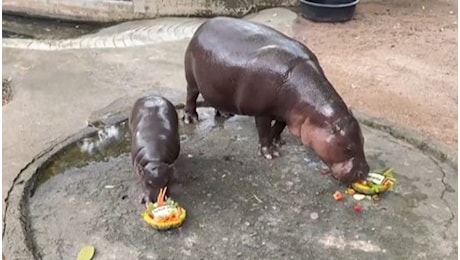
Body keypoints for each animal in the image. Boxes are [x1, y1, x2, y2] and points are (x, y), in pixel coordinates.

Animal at [183, 17, 370, 183]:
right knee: (191, 97)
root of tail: (202, 26)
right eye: (347, 148)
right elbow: (264, 131)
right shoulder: (262, 112)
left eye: (363, 140)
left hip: (216, 86)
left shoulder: (286, 113)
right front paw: (270, 153)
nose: (365, 172)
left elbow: (278, 127)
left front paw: (278, 142)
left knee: (215, 100)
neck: (313, 112)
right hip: (192, 80)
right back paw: (190, 119)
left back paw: (224, 114)